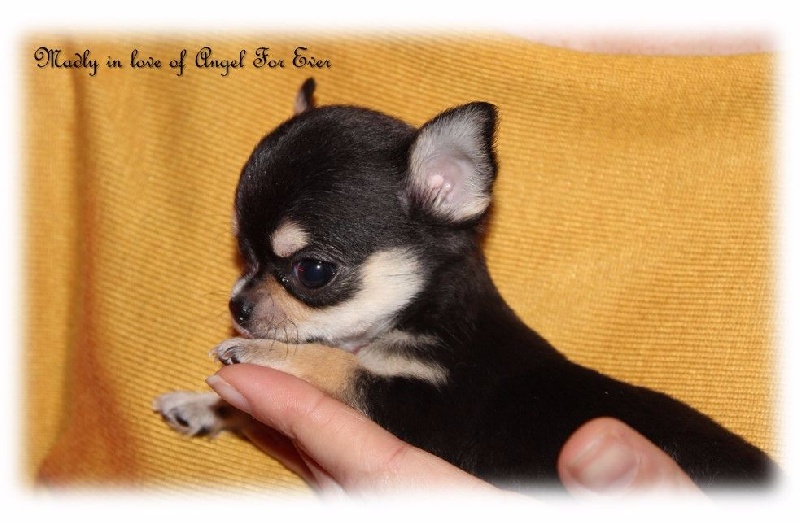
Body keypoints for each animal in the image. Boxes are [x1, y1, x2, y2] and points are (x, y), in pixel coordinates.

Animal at [154, 78, 774, 491]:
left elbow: (341, 367)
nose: (237, 306)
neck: (412, 319)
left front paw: (264, 353)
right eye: (243, 253)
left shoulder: (430, 409)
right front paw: (204, 402)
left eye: (312, 272)